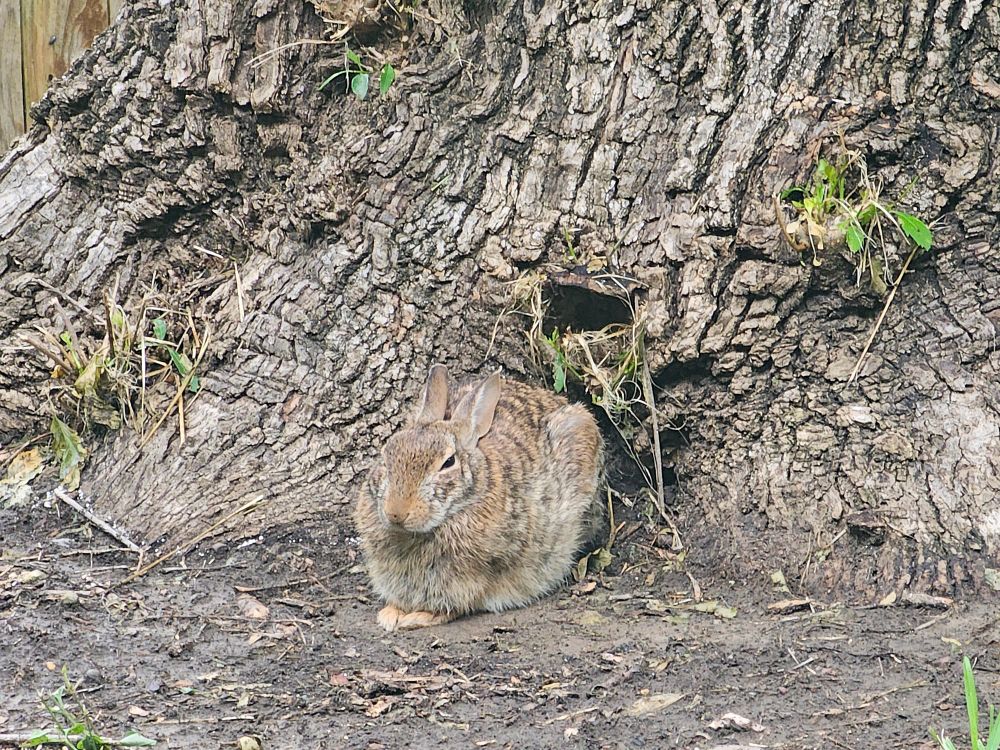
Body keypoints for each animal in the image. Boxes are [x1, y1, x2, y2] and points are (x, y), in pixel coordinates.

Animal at [353, 363, 605, 632]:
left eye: (448, 462)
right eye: (386, 455)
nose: (396, 513)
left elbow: (458, 603)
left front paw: (417, 617)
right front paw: (391, 614)